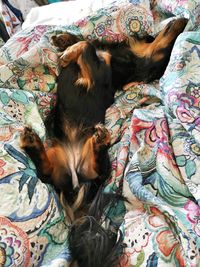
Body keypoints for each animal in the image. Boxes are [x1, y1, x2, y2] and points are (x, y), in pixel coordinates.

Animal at [19, 17, 188, 267]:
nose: (184, 20)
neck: (124, 61)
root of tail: (78, 185)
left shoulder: (98, 71)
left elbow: (87, 45)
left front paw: (68, 53)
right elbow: (87, 41)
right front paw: (64, 40)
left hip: (100, 167)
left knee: (88, 169)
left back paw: (98, 141)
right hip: (55, 154)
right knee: (46, 172)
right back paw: (32, 141)